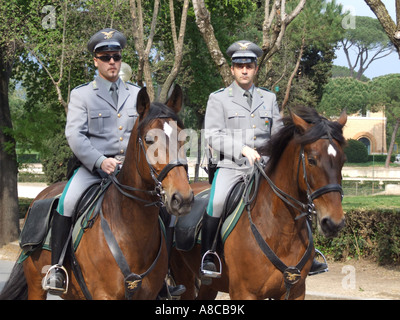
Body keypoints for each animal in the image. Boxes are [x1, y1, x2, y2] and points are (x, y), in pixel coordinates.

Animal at [0, 85, 194, 300]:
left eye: (184, 138)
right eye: (149, 140)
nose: (182, 198)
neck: (128, 227)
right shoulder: (103, 295)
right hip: (36, 285)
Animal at [169, 107, 346, 300]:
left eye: (343, 161)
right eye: (312, 160)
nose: (334, 223)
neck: (282, 230)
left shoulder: (296, 291)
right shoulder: (243, 292)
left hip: (210, 286)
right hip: (183, 275)